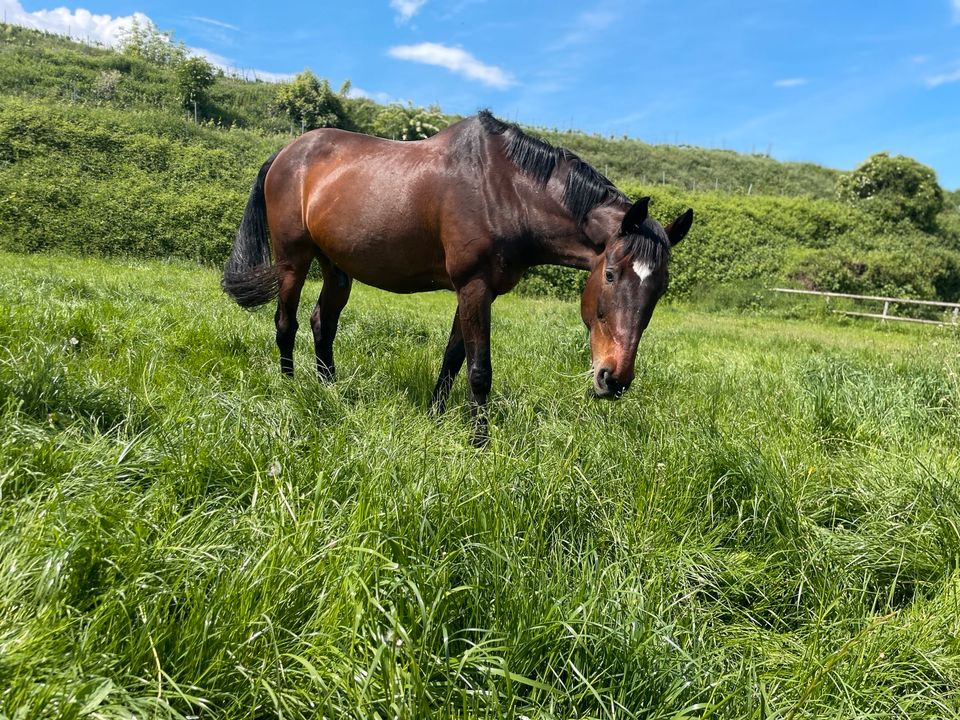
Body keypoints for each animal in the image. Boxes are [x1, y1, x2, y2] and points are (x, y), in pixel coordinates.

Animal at [222, 109, 692, 442]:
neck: (504, 191)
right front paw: (479, 443)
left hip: (337, 266)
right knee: (286, 322)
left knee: (323, 323)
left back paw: (330, 391)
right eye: (610, 275)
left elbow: (452, 358)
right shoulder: (474, 287)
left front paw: (434, 417)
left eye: (660, 289)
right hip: (293, 259)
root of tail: (285, 153)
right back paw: (291, 390)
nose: (614, 379)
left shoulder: (478, 290)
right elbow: (479, 369)